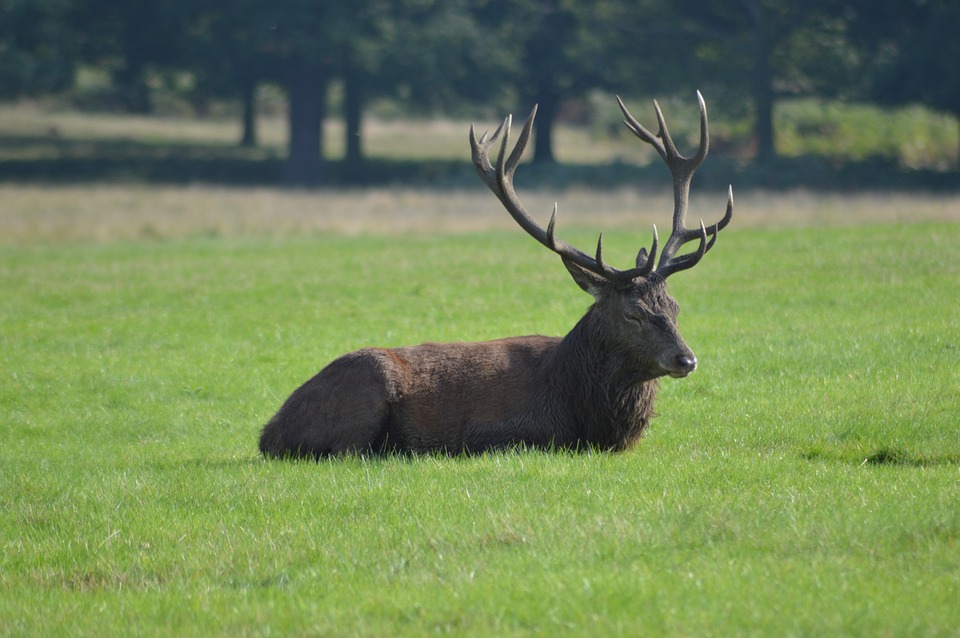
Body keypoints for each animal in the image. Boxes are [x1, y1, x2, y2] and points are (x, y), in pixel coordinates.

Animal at [258, 91, 732, 460]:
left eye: (674, 306)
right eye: (632, 312)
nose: (686, 359)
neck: (585, 409)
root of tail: (267, 432)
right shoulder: (515, 432)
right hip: (366, 384)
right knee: (347, 452)